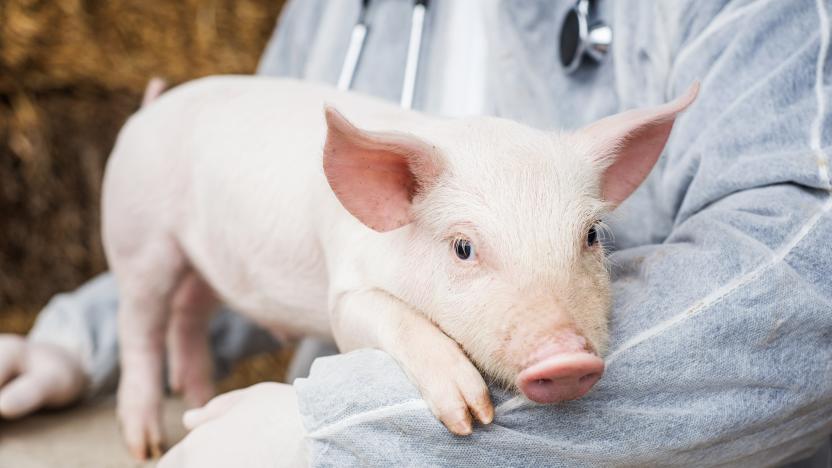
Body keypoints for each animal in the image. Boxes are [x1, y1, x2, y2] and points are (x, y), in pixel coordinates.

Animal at [104, 75, 700, 458]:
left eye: (590, 236)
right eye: (462, 248)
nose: (567, 357)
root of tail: (148, 109)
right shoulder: (344, 292)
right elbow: (378, 317)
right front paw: (468, 416)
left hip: (201, 262)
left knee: (189, 310)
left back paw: (198, 399)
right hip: (138, 237)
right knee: (138, 324)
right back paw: (147, 443)